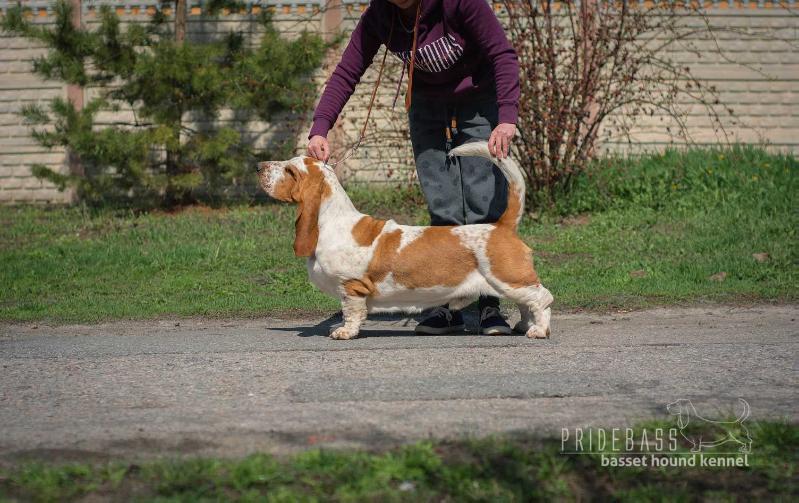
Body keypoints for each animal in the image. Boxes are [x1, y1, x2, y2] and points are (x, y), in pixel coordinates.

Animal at [260, 140, 552, 340]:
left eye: (290, 170)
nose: (258, 166)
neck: (332, 220)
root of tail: (501, 226)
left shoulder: (351, 286)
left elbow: (351, 312)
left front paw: (344, 332)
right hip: (509, 284)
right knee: (527, 303)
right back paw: (524, 325)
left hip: (507, 278)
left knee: (543, 298)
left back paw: (538, 330)